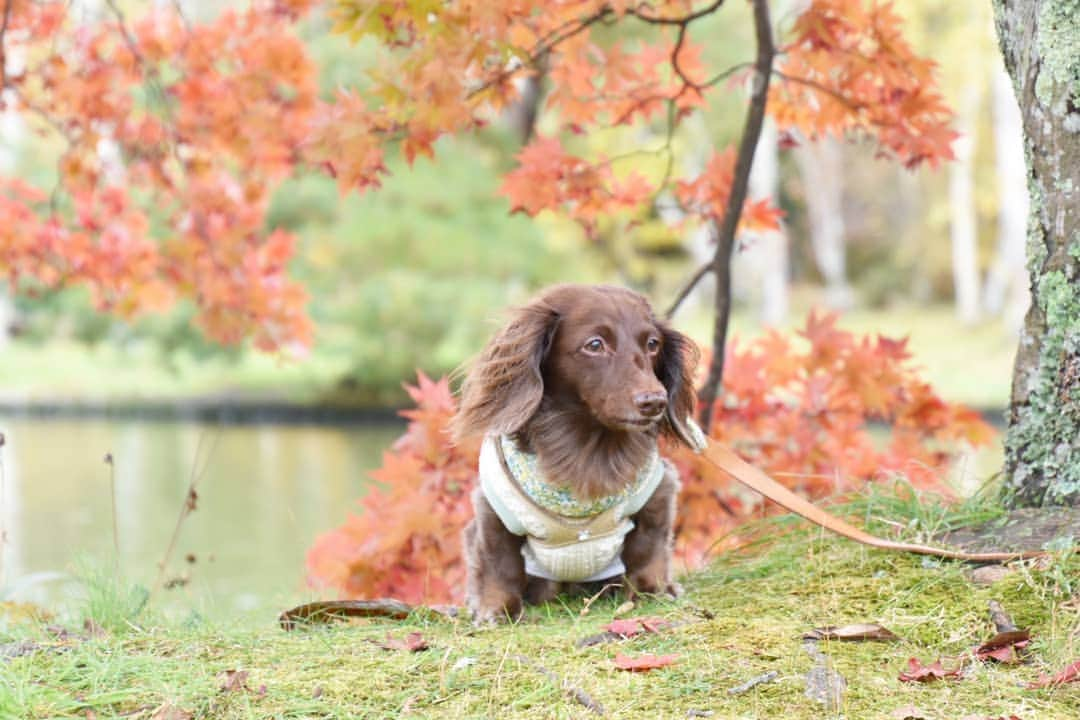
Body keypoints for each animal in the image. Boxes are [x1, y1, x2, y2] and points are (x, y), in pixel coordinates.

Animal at [449, 284, 695, 621]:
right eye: (595, 344)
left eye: (653, 344)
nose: (654, 401)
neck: (587, 447)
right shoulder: (493, 509)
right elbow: (498, 561)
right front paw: (494, 609)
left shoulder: (659, 489)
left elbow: (649, 547)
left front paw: (654, 590)